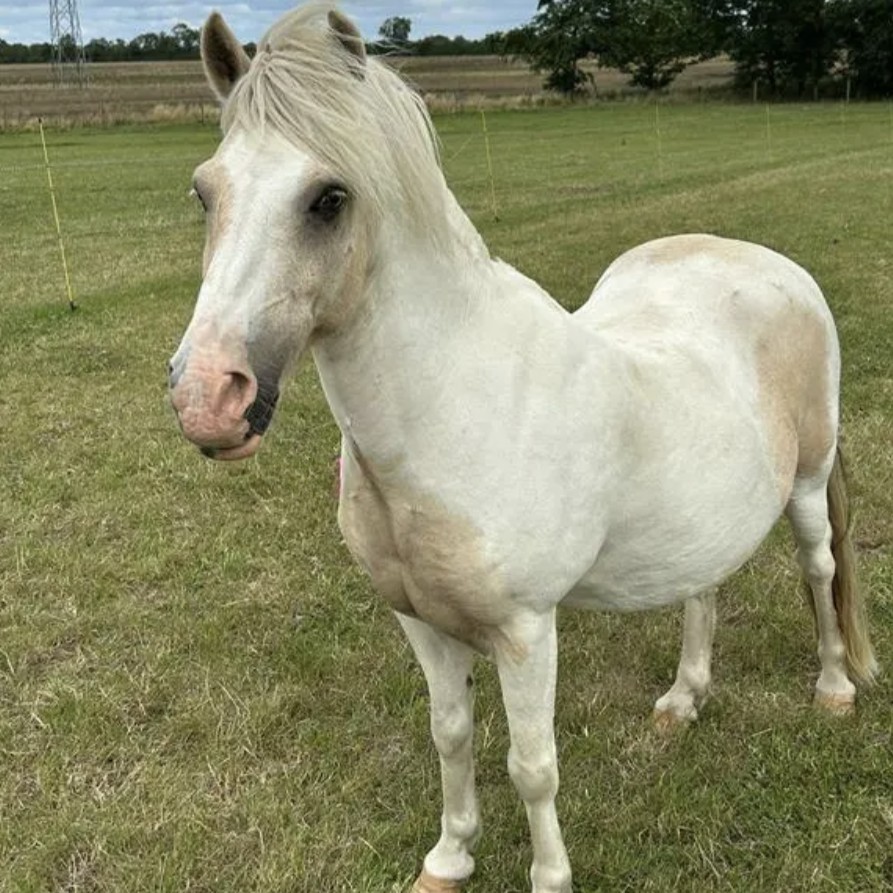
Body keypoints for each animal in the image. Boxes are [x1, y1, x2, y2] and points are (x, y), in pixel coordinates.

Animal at [168, 5, 877, 891]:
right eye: (204, 192)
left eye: (328, 199)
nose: (207, 397)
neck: (453, 412)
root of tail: (762, 260)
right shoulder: (420, 622)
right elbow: (450, 736)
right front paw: (448, 858)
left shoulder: (526, 630)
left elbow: (532, 765)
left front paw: (548, 875)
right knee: (700, 589)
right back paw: (681, 700)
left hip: (808, 484)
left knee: (818, 569)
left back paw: (832, 689)